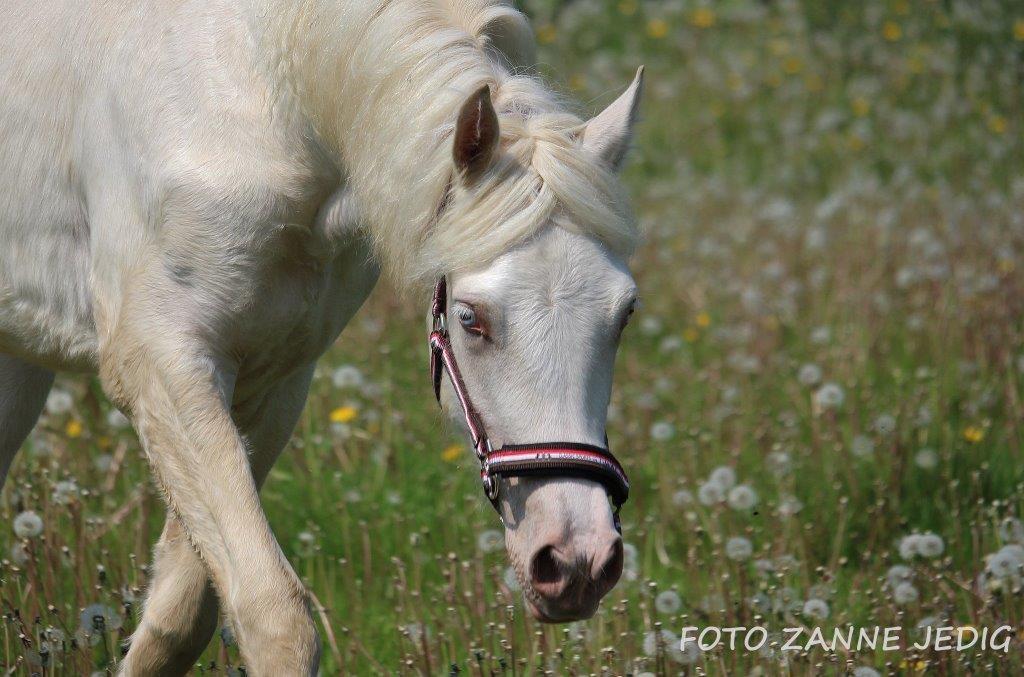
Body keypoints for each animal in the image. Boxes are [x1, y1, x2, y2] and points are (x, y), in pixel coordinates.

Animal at [0, 0, 638, 671]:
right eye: (471, 318)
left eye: (624, 314)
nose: (576, 561)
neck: (265, 91)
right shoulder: (160, 364)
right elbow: (271, 611)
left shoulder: (270, 383)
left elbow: (182, 614)